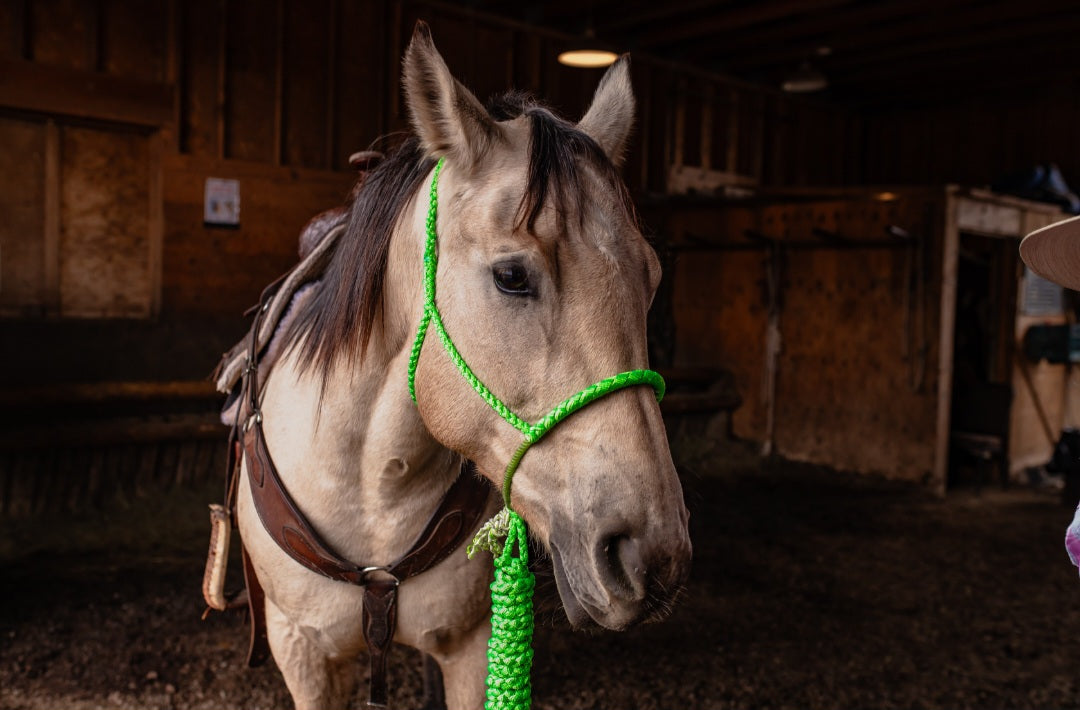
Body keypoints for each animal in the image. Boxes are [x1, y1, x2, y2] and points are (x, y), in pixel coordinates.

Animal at [212, 22, 691, 708]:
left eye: (650, 279)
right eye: (511, 275)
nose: (651, 554)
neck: (375, 486)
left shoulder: (470, 648)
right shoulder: (301, 653)